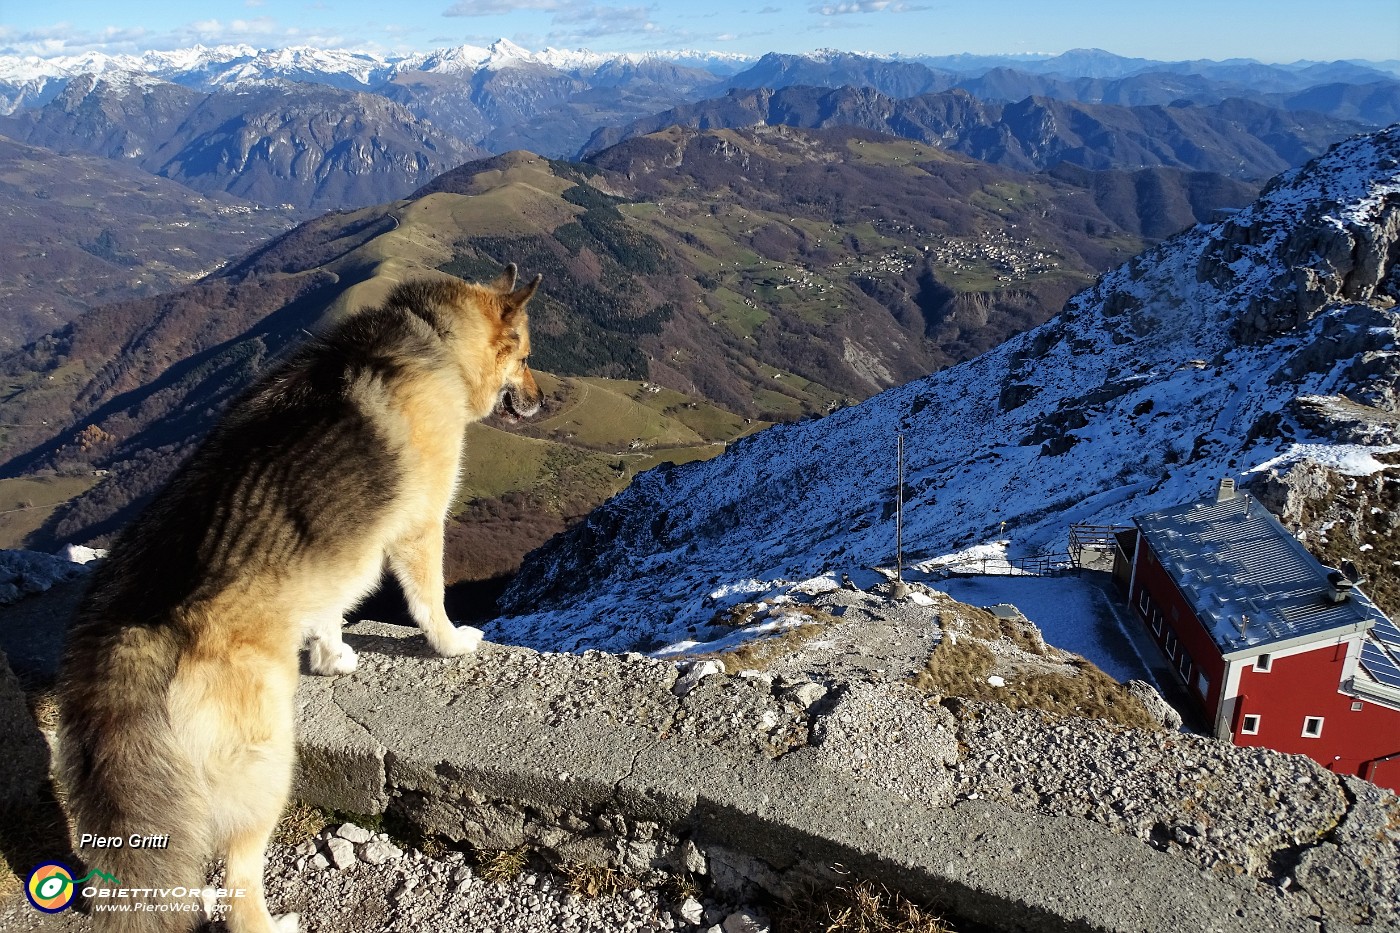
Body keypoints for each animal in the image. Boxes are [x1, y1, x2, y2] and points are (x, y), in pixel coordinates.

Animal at [51, 264, 540, 924]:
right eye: (526, 358)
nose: (542, 401)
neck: (431, 334)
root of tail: (133, 638)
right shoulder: (419, 528)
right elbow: (429, 599)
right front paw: (450, 642)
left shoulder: (332, 557)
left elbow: (329, 608)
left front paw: (332, 656)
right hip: (267, 763)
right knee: (239, 878)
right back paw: (270, 922)